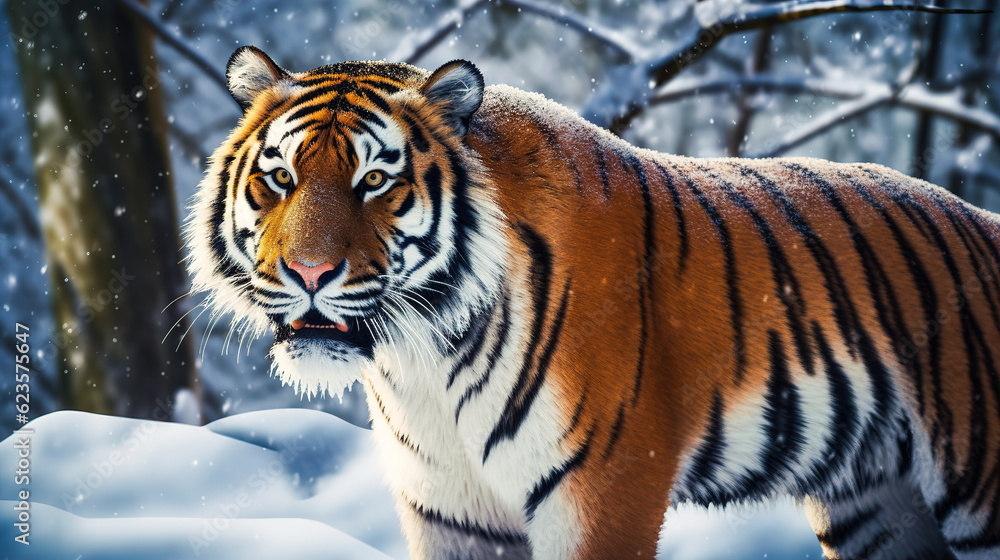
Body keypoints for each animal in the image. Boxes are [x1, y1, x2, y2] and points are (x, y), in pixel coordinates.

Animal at [186, 45, 1000, 560]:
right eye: (281, 178)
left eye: (375, 181)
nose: (309, 271)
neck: (423, 364)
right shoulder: (451, 512)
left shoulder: (603, 492)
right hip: (877, 506)